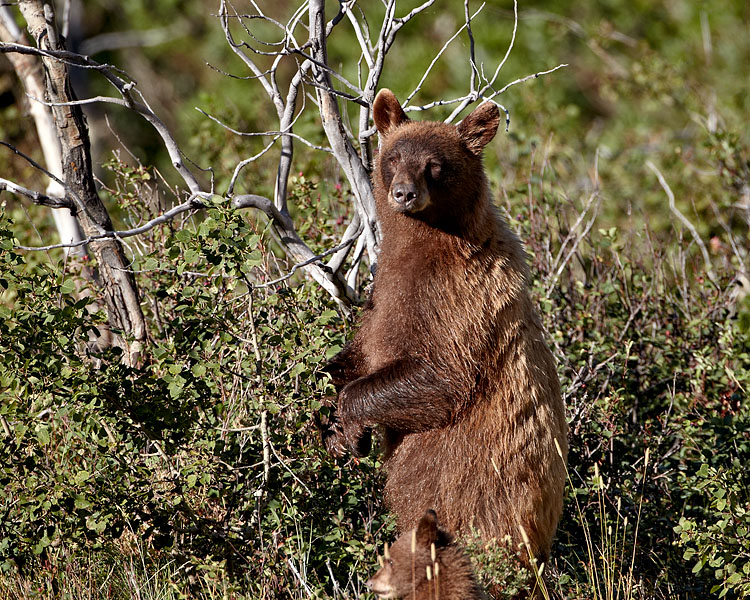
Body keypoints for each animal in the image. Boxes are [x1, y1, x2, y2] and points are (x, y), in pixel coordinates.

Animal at [322, 88, 568, 567]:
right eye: (394, 157)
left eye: (435, 165)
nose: (404, 194)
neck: (427, 242)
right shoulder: (384, 291)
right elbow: (358, 350)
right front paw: (330, 421)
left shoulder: (454, 301)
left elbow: (440, 376)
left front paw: (351, 428)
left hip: (472, 497)